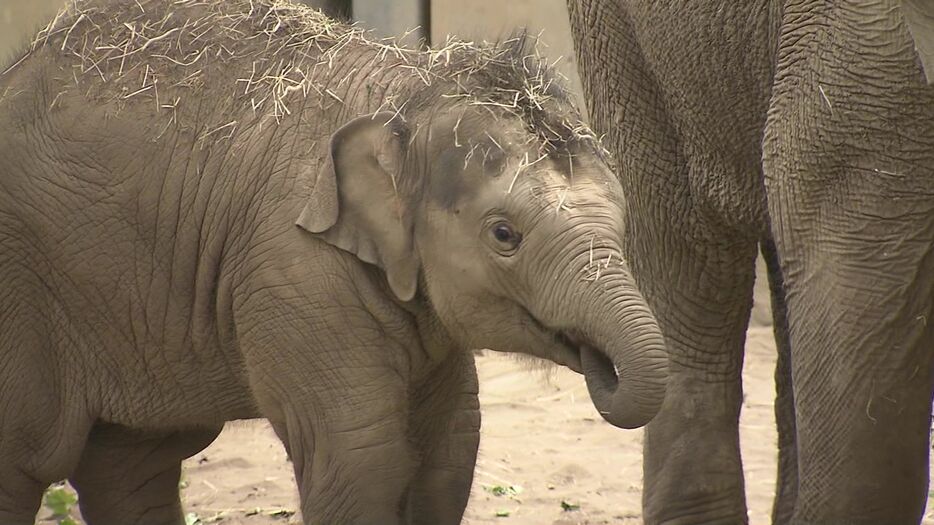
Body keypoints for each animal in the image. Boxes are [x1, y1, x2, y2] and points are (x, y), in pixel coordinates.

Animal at [0, 1, 668, 524]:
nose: (598, 361)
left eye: (624, 217)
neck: (409, 94)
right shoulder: (296, 274)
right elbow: (363, 460)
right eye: (505, 234)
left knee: (132, 464)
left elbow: (450, 452)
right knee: (27, 458)